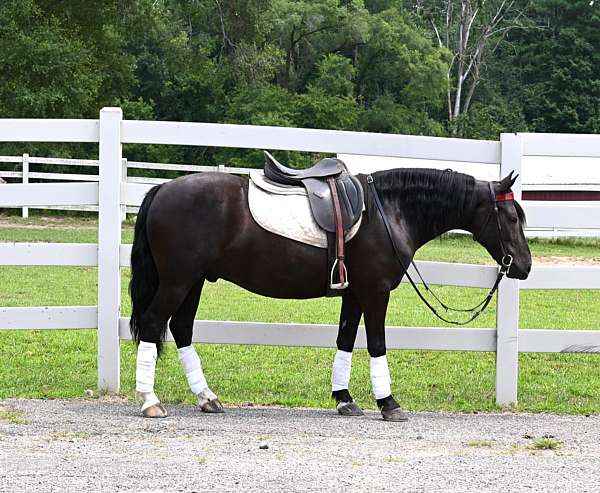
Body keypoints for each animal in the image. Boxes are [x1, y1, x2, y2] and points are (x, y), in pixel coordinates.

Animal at [127, 166, 528, 418]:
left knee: (181, 329)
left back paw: (206, 397)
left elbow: (345, 341)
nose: (523, 266)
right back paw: (150, 401)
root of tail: (162, 189)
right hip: (178, 281)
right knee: (153, 323)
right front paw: (389, 403)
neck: (388, 212)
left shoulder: (354, 294)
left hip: (193, 281)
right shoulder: (376, 293)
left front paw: (344, 399)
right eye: (511, 218)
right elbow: (377, 344)